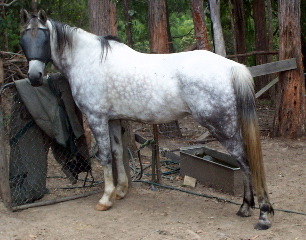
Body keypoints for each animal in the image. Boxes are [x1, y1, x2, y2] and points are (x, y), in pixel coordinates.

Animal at [19, 9, 274, 230]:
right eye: (24, 38)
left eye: (43, 37)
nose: (34, 77)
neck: (89, 60)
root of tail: (232, 67)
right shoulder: (113, 120)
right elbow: (117, 152)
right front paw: (120, 191)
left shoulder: (97, 118)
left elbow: (105, 157)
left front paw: (105, 199)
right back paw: (245, 208)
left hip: (222, 127)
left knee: (245, 161)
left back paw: (261, 214)